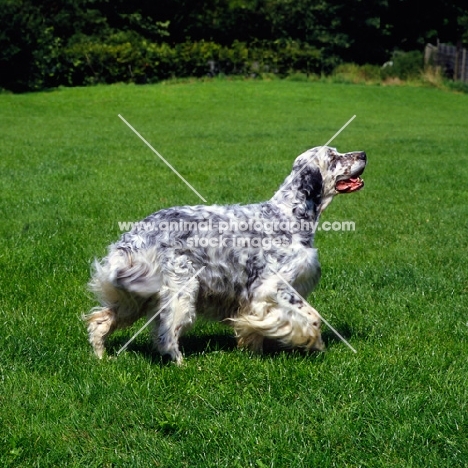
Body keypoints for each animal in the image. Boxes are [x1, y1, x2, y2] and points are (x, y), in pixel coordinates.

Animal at [84, 145, 366, 362]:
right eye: (333, 157)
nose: (363, 154)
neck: (289, 215)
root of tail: (135, 234)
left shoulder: (257, 298)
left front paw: (253, 347)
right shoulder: (273, 288)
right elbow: (313, 319)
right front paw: (314, 343)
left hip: (134, 295)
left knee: (100, 321)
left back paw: (101, 357)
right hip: (181, 289)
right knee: (167, 334)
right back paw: (181, 364)